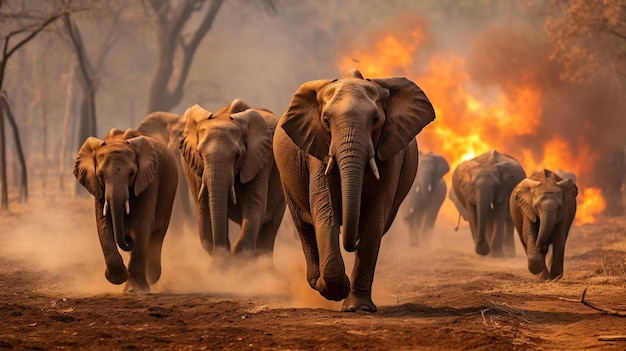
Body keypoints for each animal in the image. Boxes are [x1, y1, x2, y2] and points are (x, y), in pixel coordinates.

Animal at [73, 128, 177, 292]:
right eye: (100, 175)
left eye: (131, 174)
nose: (128, 240)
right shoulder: (97, 186)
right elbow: (103, 225)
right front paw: (118, 279)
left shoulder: (150, 179)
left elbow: (141, 224)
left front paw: (134, 290)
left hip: (169, 198)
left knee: (157, 235)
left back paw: (152, 276)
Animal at [178, 99, 286, 262]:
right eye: (200, 154)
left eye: (238, 156)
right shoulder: (196, 169)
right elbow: (204, 209)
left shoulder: (260, 161)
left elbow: (254, 206)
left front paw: (235, 264)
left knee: (267, 235)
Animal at [272, 69, 434, 314]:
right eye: (326, 120)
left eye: (376, 120)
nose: (351, 240)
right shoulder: (319, 148)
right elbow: (325, 212)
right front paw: (333, 290)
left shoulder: (390, 150)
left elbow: (374, 220)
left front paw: (358, 308)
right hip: (285, 178)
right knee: (303, 225)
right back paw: (315, 281)